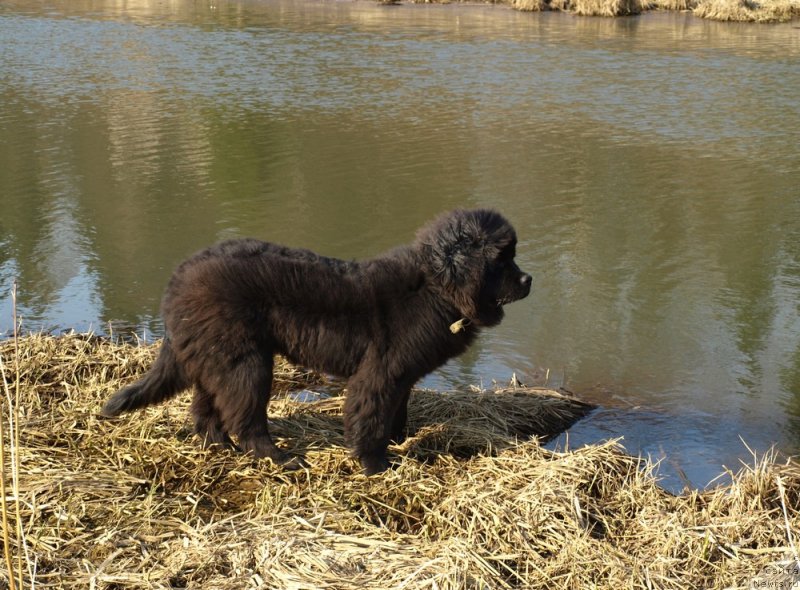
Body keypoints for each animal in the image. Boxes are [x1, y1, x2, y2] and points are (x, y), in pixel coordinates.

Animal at [104, 208, 532, 476]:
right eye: (501, 260)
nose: (529, 280)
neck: (435, 288)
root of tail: (178, 279)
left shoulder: (401, 377)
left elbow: (396, 412)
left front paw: (399, 442)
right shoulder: (379, 373)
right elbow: (371, 417)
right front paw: (376, 465)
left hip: (219, 358)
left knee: (206, 410)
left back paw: (220, 448)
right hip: (247, 363)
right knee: (246, 419)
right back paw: (279, 459)